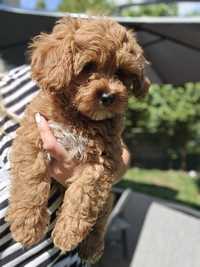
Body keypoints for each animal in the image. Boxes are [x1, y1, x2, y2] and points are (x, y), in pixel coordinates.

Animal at [5, 16, 150, 264]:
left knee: (101, 221)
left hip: (108, 198)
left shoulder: (103, 162)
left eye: (121, 73)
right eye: (88, 67)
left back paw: (92, 247)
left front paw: (68, 234)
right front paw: (26, 226)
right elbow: (31, 181)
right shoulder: (33, 136)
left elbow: (84, 195)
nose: (108, 96)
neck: (80, 117)